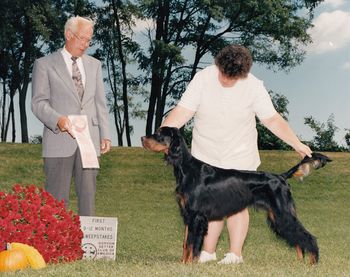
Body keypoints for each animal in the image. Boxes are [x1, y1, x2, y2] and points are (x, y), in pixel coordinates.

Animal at [140, 126, 330, 264]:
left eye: (159, 134)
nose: (142, 138)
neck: (186, 169)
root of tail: (281, 177)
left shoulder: (195, 216)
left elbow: (192, 243)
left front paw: (188, 264)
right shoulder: (188, 215)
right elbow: (186, 243)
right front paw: (182, 263)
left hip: (282, 214)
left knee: (308, 237)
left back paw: (312, 262)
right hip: (277, 216)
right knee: (298, 238)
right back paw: (299, 263)